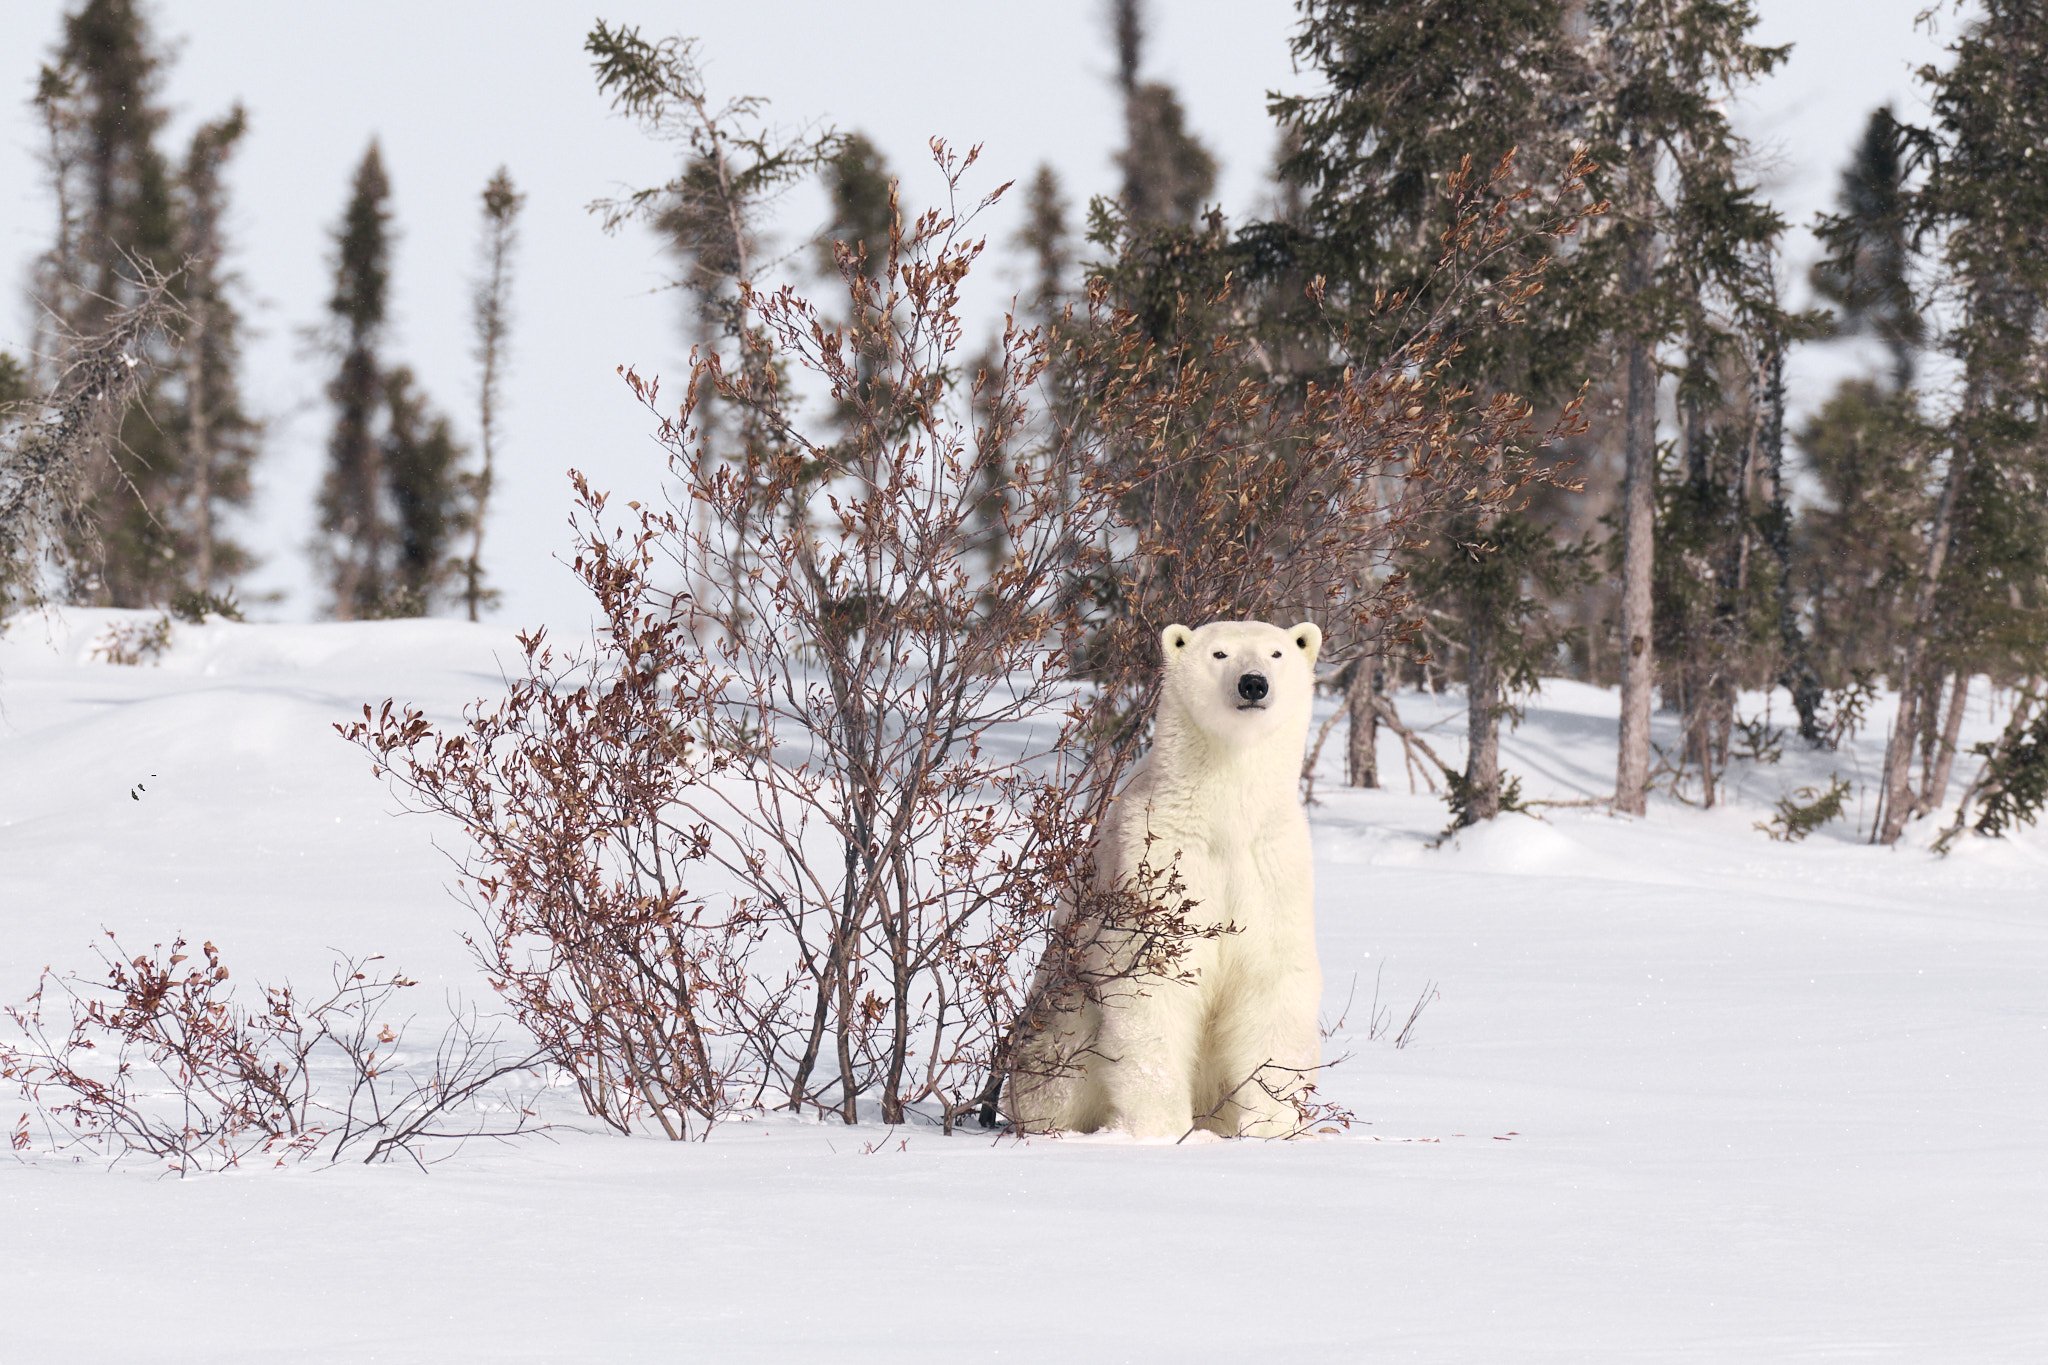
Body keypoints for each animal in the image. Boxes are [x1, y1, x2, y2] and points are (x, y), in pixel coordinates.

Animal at [1007, 622, 1327, 1146]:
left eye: (1277, 653)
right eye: (1220, 654)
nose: (1253, 684)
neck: (1224, 817)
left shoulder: (1273, 866)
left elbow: (1272, 981)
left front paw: (1271, 1127)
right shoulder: (1155, 861)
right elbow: (1151, 982)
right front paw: (1161, 1130)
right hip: (1060, 1019)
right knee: (1055, 1073)